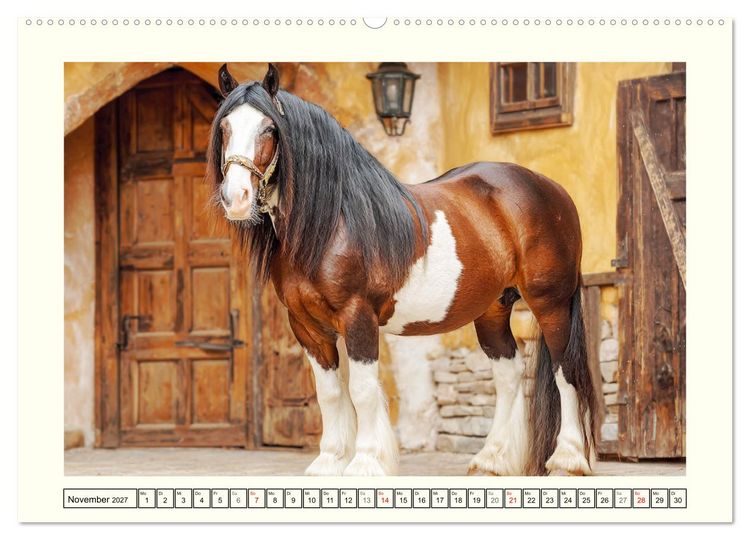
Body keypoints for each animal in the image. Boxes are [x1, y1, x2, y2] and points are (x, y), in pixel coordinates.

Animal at [206, 63, 598, 476]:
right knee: (509, 375)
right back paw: (492, 459)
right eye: (224, 127)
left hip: (551, 303)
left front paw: (364, 463)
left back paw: (569, 459)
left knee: (565, 371)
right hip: (493, 309)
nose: (236, 198)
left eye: (269, 128)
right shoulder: (307, 327)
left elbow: (361, 391)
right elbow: (329, 393)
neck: (333, 223)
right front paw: (328, 462)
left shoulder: (358, 317)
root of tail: (553, 190)